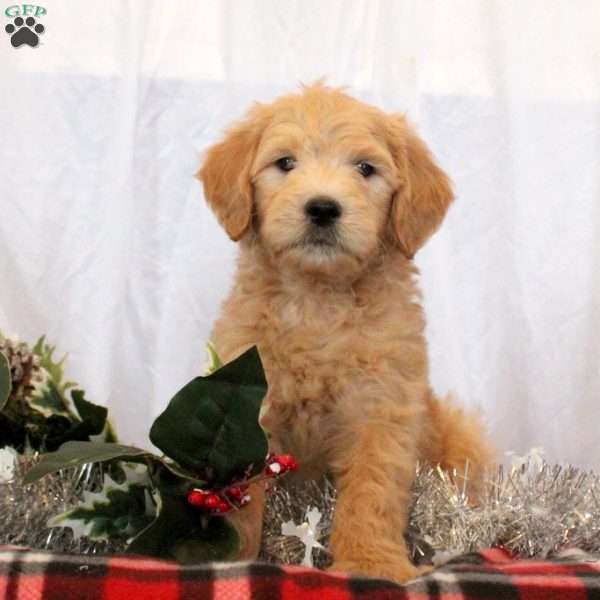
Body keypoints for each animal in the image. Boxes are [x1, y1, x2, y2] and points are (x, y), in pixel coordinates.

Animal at [199, 83, 494, 580]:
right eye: (285, 163)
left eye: (365, 168)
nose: (322, 208)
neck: (318, 301)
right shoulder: (246, 405)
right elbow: (239, 497)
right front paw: (230, 556)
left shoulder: (380, 408)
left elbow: (372, 490)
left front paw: (370, 562)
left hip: (461, 440)